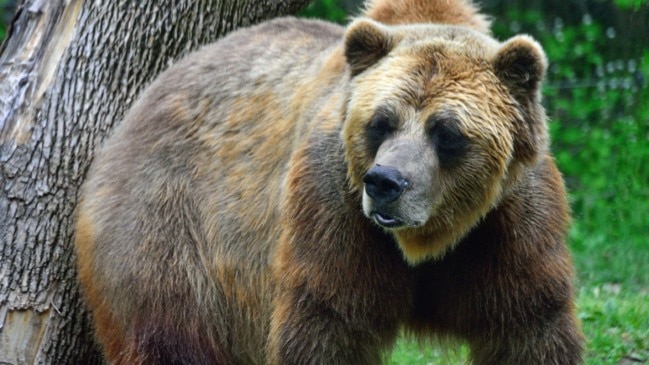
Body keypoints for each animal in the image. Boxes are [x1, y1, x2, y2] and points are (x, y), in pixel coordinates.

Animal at [74, 0, 584, 362]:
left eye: (446, 131)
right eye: (380, 122)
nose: (385, 182)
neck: (428, 239)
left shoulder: (508, 227)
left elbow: (529, 326)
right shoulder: (333, 212)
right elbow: (329, 321)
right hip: (171, 227)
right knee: (171, 333)